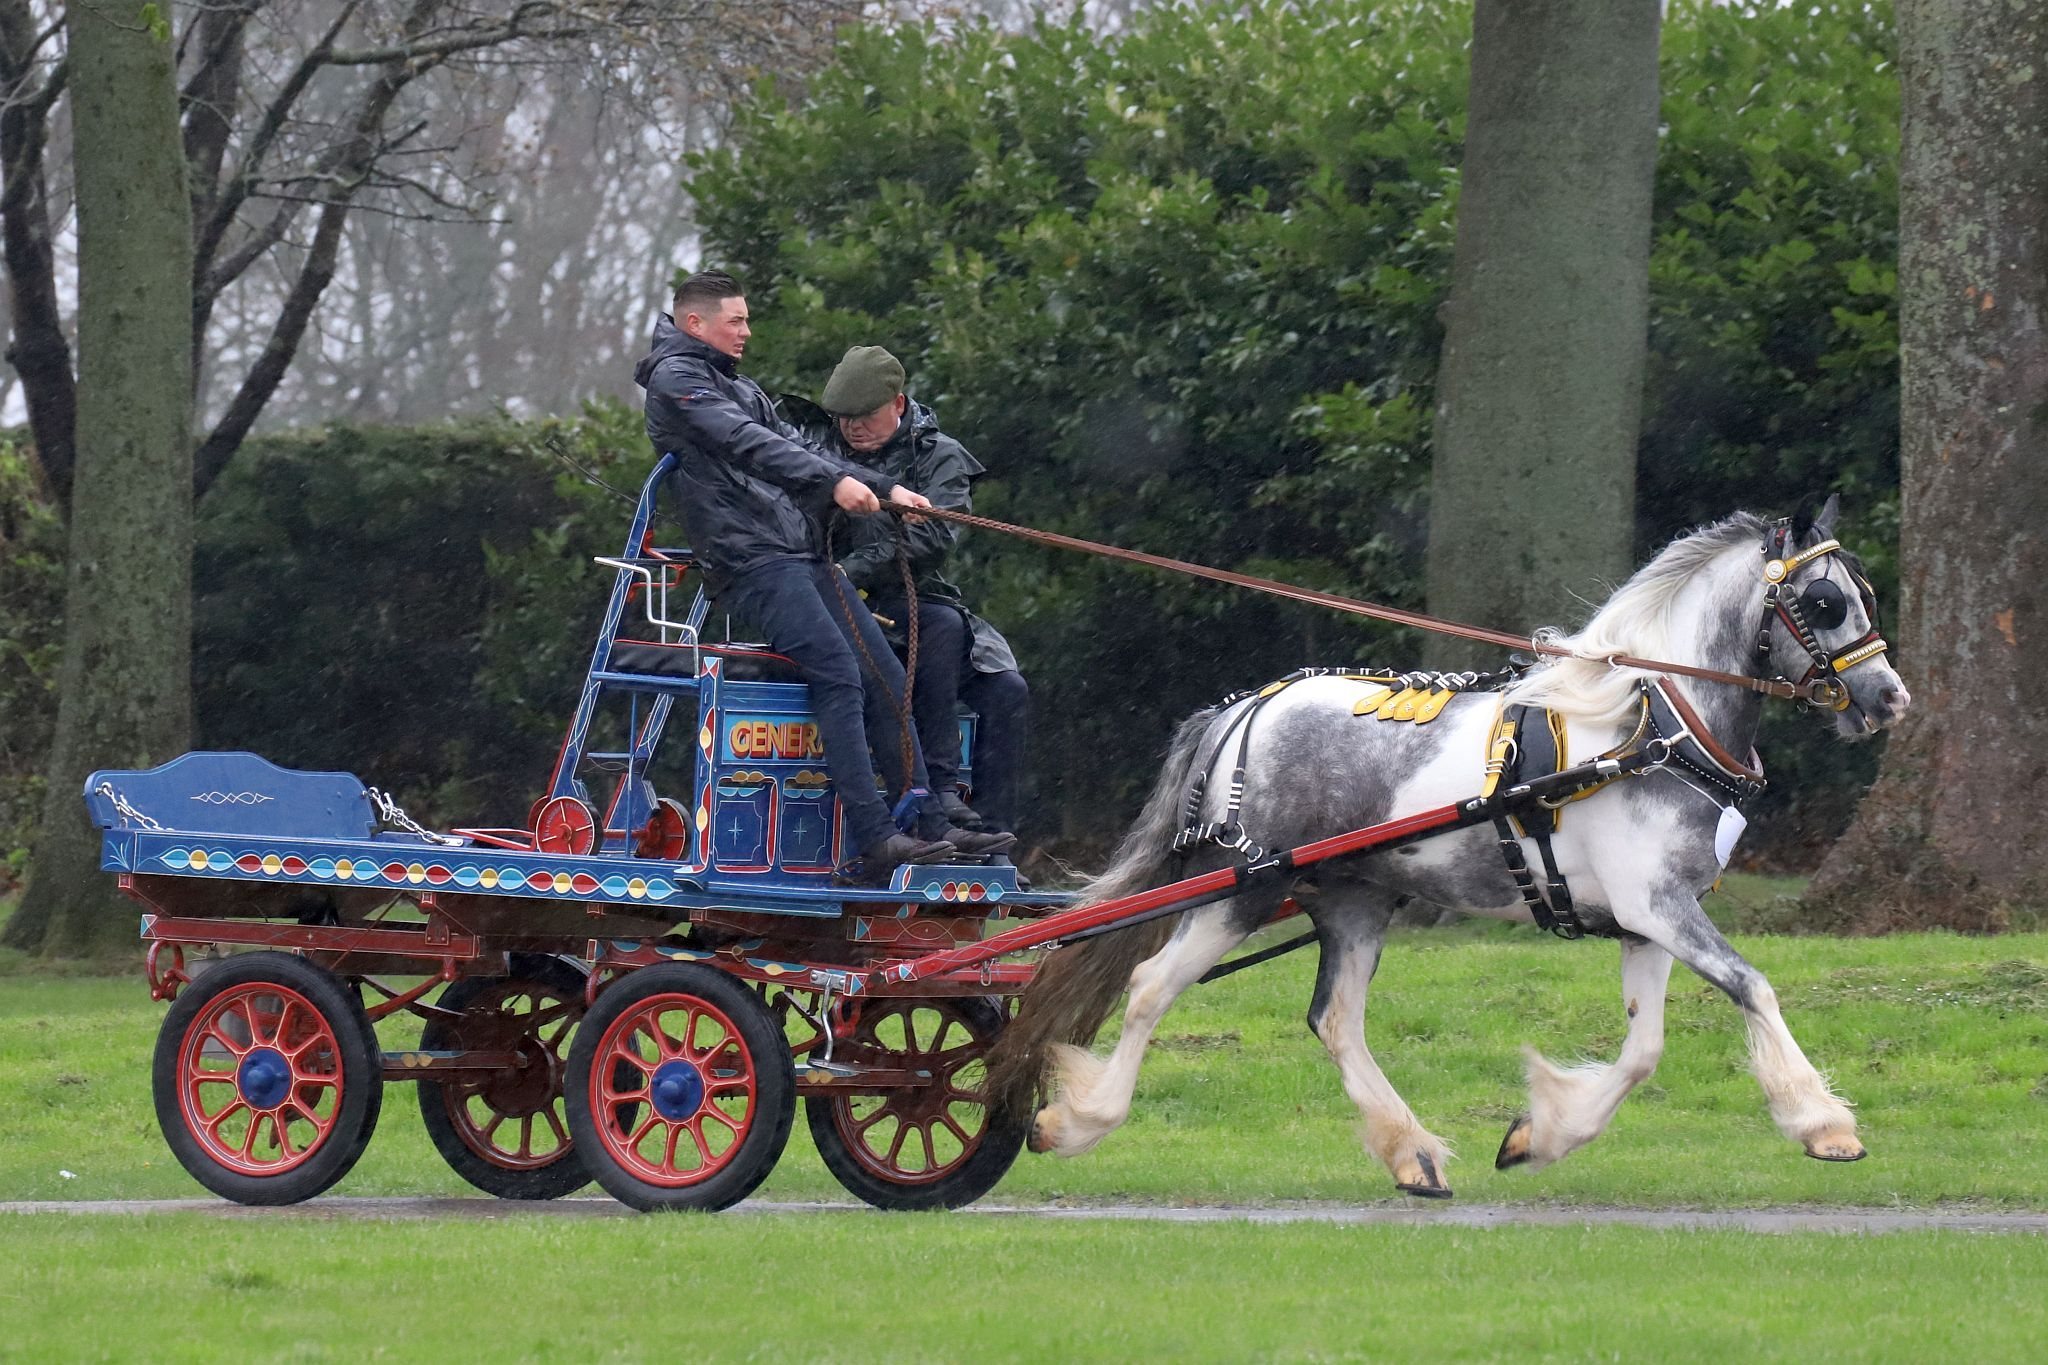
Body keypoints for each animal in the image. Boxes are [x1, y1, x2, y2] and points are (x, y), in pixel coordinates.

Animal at [985, 497, 1910, 1197]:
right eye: (1825, 603)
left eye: (1862, 591)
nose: (1890, 699)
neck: (1653, 727)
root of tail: (1247, 706)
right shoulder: (1660, 907)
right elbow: (1752, 985)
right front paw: (1824, 1123)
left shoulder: (1649, 919)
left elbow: (1645, 1049)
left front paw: (1542, 1133)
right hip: (1239, 890)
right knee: (1149, 987)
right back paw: (1078, 1120)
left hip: (1353, 898)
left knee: (1336, 1019)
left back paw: (1413, 1152)